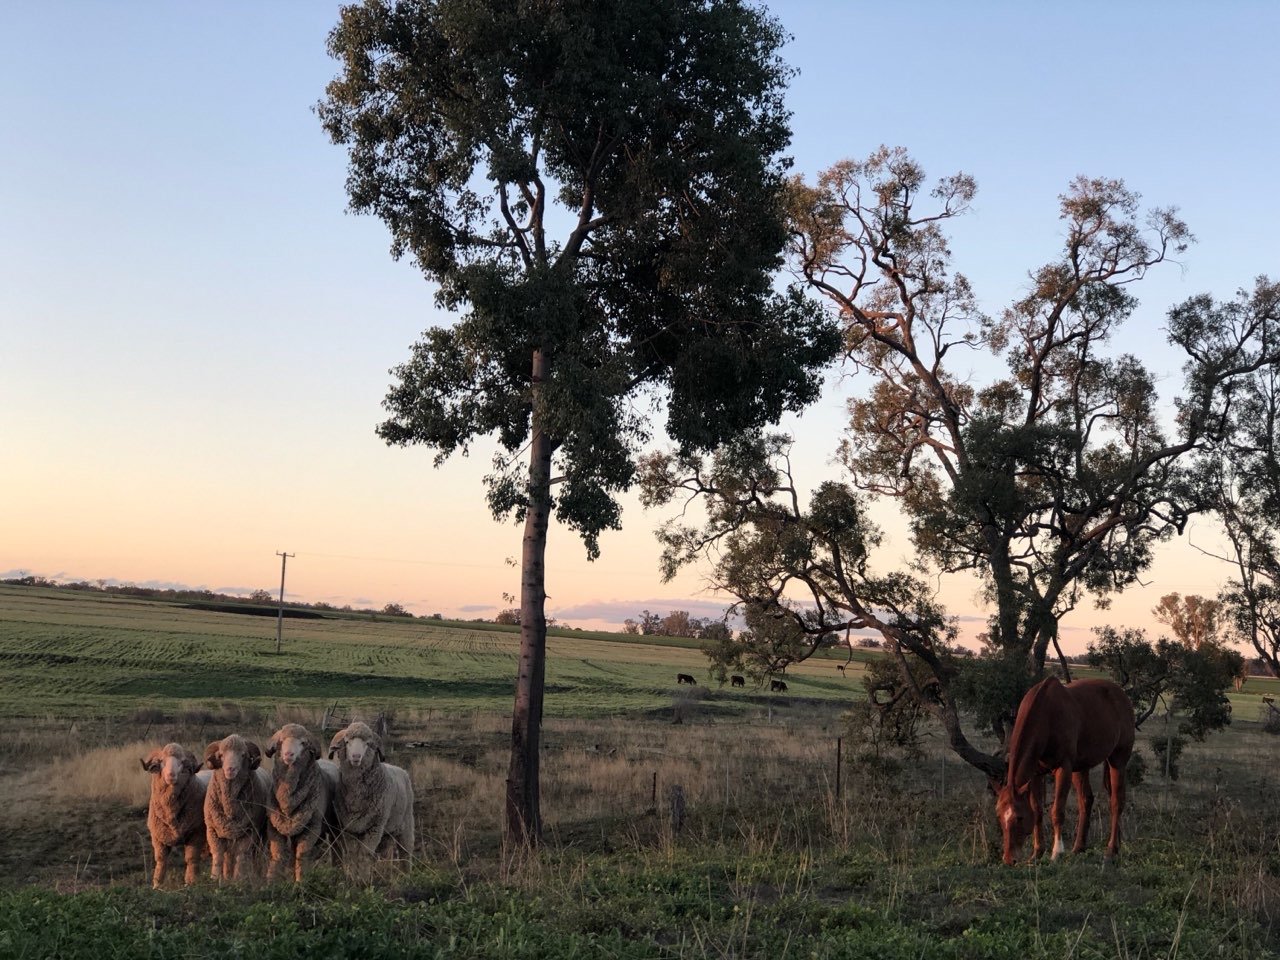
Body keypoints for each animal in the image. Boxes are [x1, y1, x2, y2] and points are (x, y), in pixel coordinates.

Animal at [140, 742, 212, 896]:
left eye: (182, 763)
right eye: (161, 761)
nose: (171, 775)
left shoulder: (196, 833)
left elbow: (191, 859)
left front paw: (190, 883)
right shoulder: (158, 837)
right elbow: (161, 861)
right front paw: (157, 886)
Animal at [202, 732, 270, 885]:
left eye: (243, 755)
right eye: (221, 755)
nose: (230, 769)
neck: (230, 806)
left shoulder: (249, 830)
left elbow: (241, 855)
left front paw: (239, 878)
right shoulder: (213, 830)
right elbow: (218, 854)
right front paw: (215, 878)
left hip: (261, 834)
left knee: (254, 854)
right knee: (228, 855)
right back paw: (227, 875)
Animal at [263, 727, 340, 885]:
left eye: (303, 743)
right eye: (281, 741)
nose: (288, 754)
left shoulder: (312, 828)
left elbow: (302, 854)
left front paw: (300, 882)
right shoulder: (274, 827)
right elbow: (277, 853)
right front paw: (271, 881)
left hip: (332, 826)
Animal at [327, 716, 412, 870]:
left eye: (367, 744)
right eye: (347, 742)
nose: (356, 756)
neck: (356, 795)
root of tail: (401, 770)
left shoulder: (374, 829)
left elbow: (363, 857)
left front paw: (363, 875)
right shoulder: (350, 829)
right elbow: (353, 855)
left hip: (406, 823)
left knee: (406, 852)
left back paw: (407, 872)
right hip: (387, 830)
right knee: (387, 850)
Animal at [993, 680, 1136, 870]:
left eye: (1019, 817)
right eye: (999, 817)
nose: (1009, 859)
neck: (1047, 716)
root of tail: (1121, 694)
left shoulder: (1064, 768)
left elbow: (1057, 811)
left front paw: (1056, 853)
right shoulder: (1036, 773)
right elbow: (1037, 810)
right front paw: (1037, 853)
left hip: (1117, 760)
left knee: (1116, 802)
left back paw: (1111, 850)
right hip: (1081, 767)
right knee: (1086, 801)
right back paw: (1079, 848)